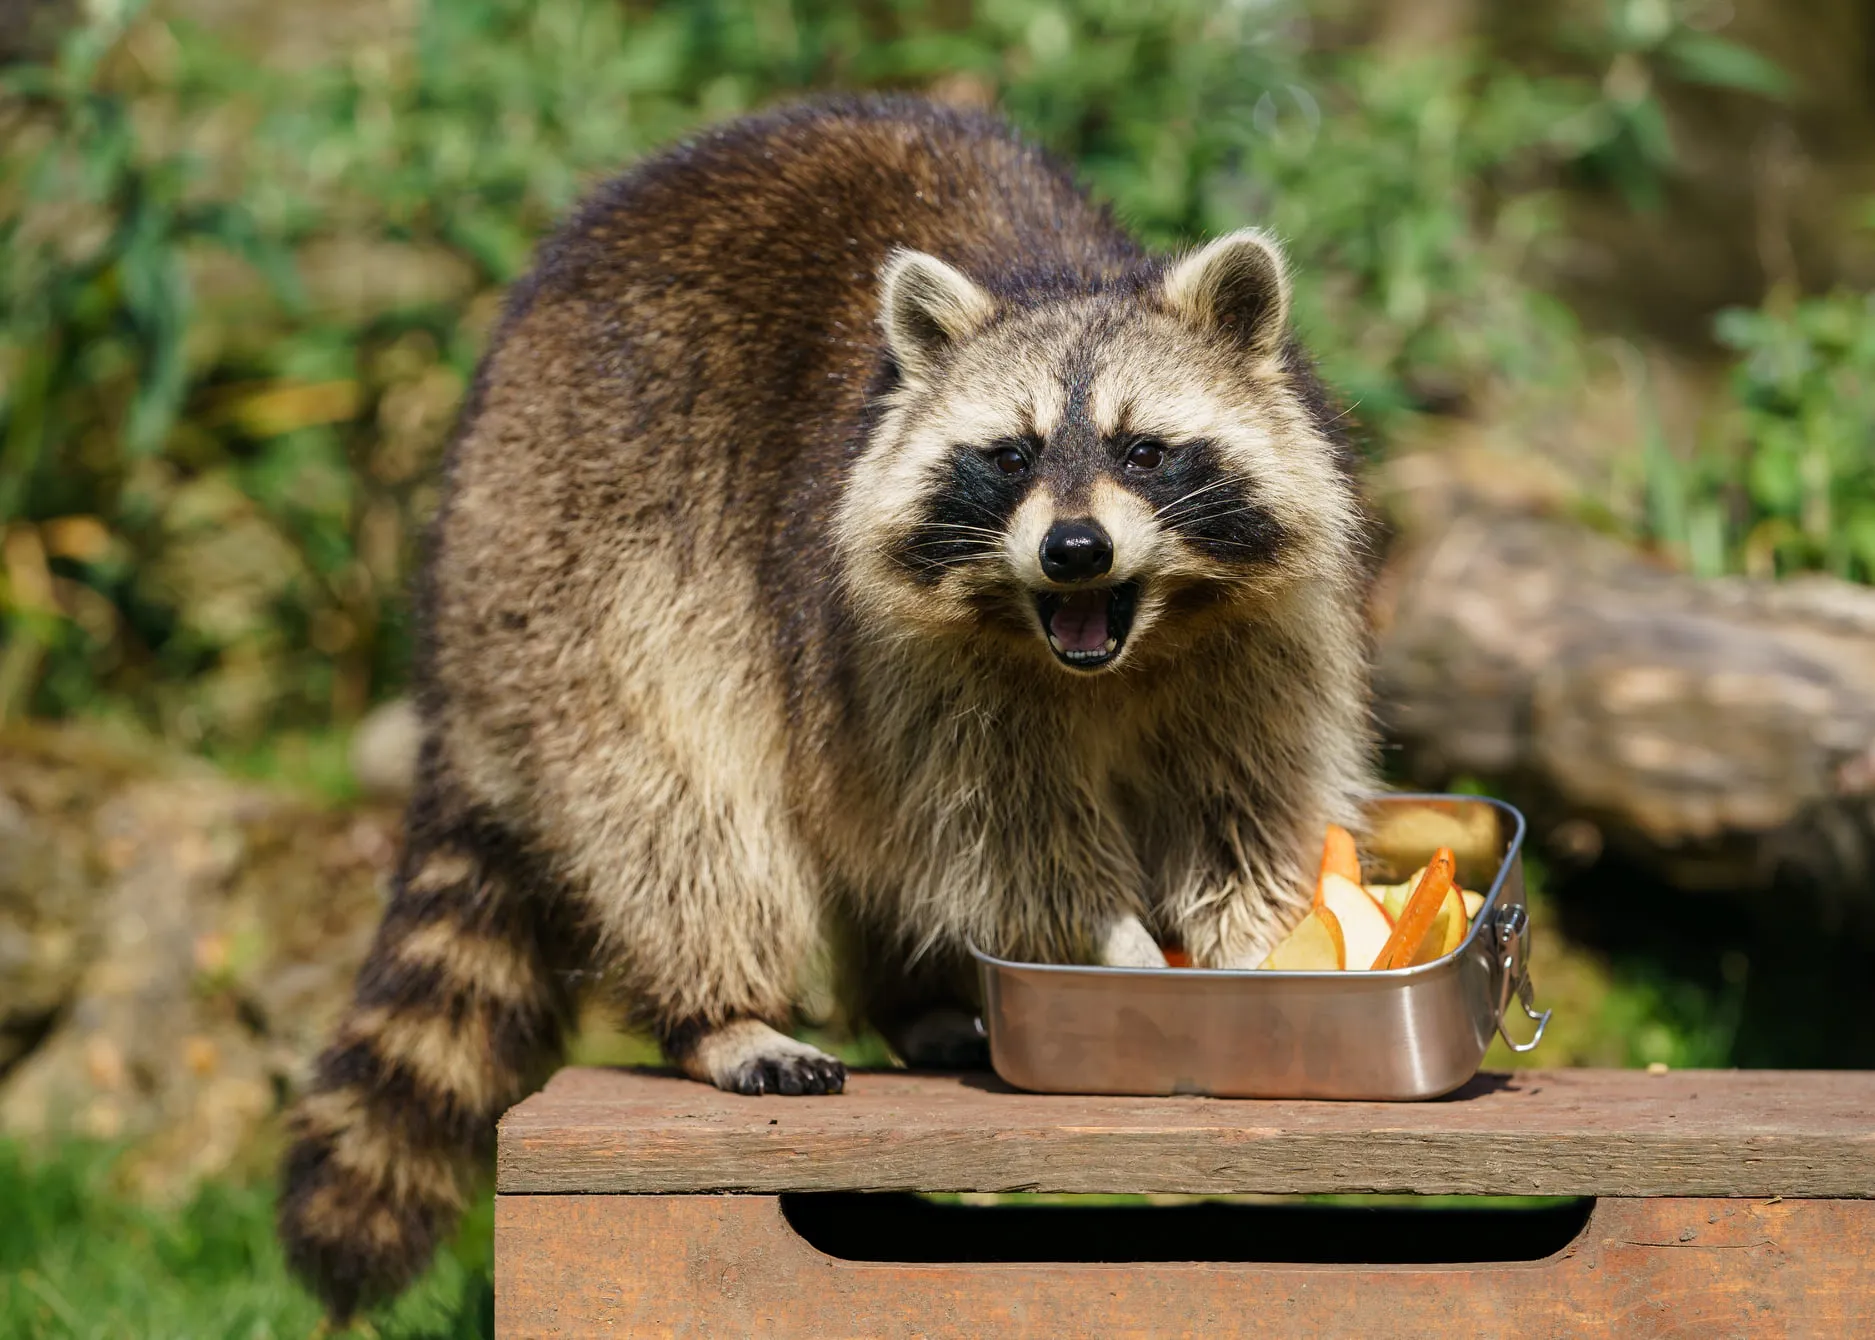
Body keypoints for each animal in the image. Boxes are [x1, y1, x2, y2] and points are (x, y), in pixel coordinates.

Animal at [278, 95, 1377, 1318]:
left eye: (1145, 450)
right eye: (1009, 456)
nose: (1075, 548)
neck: (1114, 649)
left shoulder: (1266, 641)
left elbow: (1244, 806)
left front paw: (1257, 945)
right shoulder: (905, 657)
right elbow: (1004, 837)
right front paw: (1121, 949)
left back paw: (915, 999)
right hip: (580, 551)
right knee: (682, 804)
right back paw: (722, 1012)